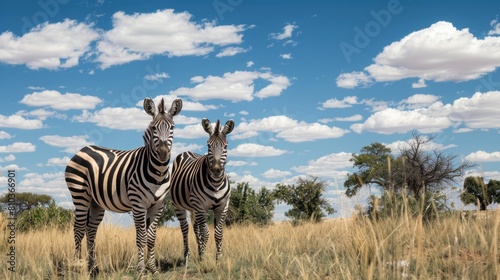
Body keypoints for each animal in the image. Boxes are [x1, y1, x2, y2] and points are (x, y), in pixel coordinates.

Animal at [64, 97, 182, 274]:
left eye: (172, 127)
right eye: (153, 128)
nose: (162, 153)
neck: (158, 172)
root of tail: (82, 149)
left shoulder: (158, 205)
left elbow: (151, 238)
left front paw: (153, 268)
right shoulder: (138, 204)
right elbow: (141, 238)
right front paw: (141, 270)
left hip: (96, 202)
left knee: (90, 230)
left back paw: (93, 268)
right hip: (80, 194)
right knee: (78, 229)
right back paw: (78, 266)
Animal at [171, 117, 235, 262]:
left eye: (226, 146)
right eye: (208, 146)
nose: (216, 170)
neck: (216, 184)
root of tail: (186, 152)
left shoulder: (223, 206)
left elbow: (218, 233)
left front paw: (218, 258)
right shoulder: (201, 206)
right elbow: (205, 232)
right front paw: (204, 259)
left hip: (193, 207)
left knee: (196, 227)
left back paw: (199, 251)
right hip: (179, 205)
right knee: (185, 228)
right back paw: (187, 255)